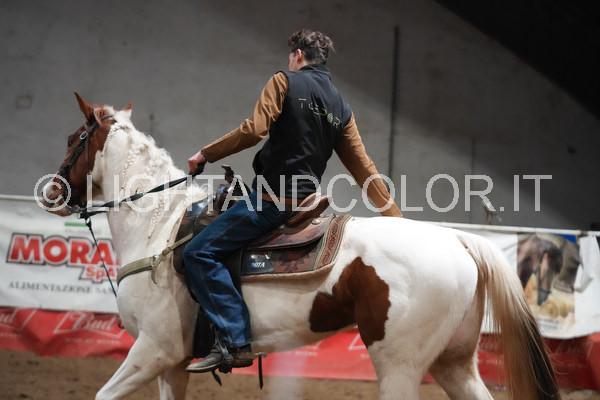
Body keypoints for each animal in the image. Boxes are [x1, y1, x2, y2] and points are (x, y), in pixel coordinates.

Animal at [41, 93, 560, 400]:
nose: (49, 191)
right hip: (455, 363)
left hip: (400, 364)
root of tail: (457, 238)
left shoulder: (154, 350)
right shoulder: (172, 364)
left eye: (73, 139)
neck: (159, 227)